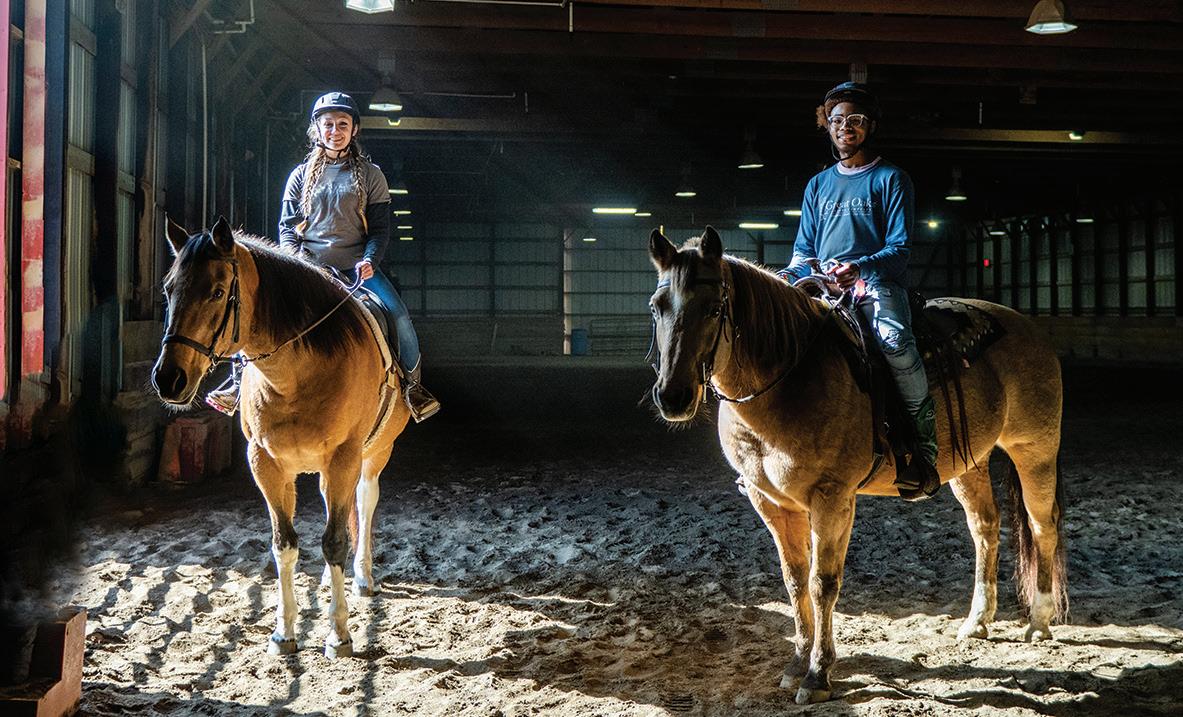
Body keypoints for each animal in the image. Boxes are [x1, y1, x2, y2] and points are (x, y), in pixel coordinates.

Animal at [151, 216, 411, 658]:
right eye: (169, 289)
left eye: (217, 291)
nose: (169, 379)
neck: (294, 375)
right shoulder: (266, 464)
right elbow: (284, 544)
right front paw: (283, 632)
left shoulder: (345, 458)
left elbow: (334, 540)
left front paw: (338, 635)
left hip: (375, 452)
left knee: (364, 501)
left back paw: (361, 577)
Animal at [646, 227, 1067, 704]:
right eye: (657, 306)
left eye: (714, 308)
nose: (673, 397)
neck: (789, 376)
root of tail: (1027, 326)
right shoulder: (770, 501)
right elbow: (795, 581)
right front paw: (797, 662)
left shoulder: (832, 498)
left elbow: (822, 583)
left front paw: (818, 674)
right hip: (969, 464)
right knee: (985, 527)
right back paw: (977, 620)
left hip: (1035, 449)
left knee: (1042, 525)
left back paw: (1039, 621)